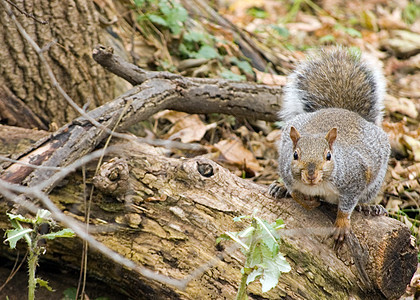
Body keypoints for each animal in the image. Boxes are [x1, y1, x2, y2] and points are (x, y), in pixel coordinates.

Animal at [270, 46, 390, 244]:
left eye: (328, 156)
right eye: (295, 155)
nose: (311, 174)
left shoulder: (354, 178)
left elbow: (346, 206)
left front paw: (342, 224)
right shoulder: (286, 169)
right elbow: (295, 193)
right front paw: (304, 199)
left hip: (376, 179)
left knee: (365, 196)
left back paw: (368, 207)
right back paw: (279, 188)